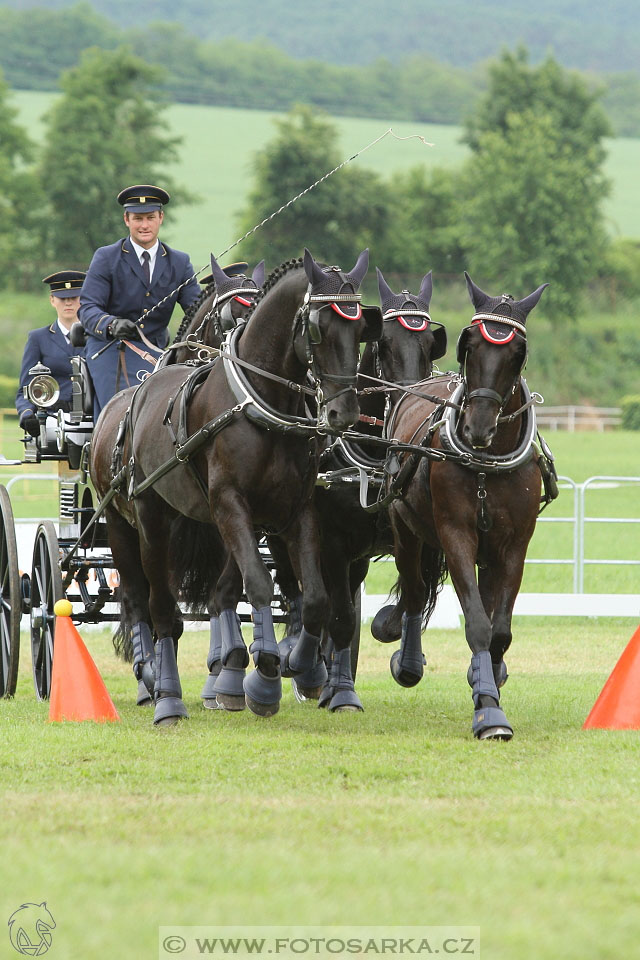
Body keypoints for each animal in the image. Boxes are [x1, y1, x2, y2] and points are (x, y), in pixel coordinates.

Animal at [89, 251, 380, 724]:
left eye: (360, 329)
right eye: (318, 327)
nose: (344, 413)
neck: (261, 403)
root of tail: (132, 396)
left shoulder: (295, 511)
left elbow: (313, 598)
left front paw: (299, 666)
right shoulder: (230, 506)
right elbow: (257, 583)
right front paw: (263, 677)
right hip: (136, 523)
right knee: (150, 606)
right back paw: (161, 691)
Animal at [272, 266, 448, 708]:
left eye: (429, 346)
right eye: (383, 345)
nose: (411, 404)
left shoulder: (411, 536)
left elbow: (410, 598)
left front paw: (398, 649)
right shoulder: (332, 542)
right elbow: (338, 615)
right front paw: (334, 686)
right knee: (298, 592)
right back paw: (301, 662)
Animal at [378, 274, 548, 740]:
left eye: (517, 353)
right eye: (468, 344)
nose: (477, 428)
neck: (488, 462)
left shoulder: (515, 545)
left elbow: (499, 630)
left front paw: (487, 684)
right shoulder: (455, 535)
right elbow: (476, 622)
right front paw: (489, 711)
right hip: (405, 528)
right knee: (414, 591)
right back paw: (407, 658)